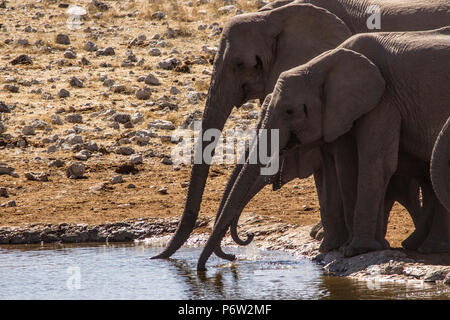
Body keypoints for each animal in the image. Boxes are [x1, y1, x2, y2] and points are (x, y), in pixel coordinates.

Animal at [150, 0, 450, 260]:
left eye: (240, 64)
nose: (237, 250)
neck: (273, 13)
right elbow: (338, 162)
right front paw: (331, 245)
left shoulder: (382, 97)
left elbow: (370, 162)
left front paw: (352, 249)